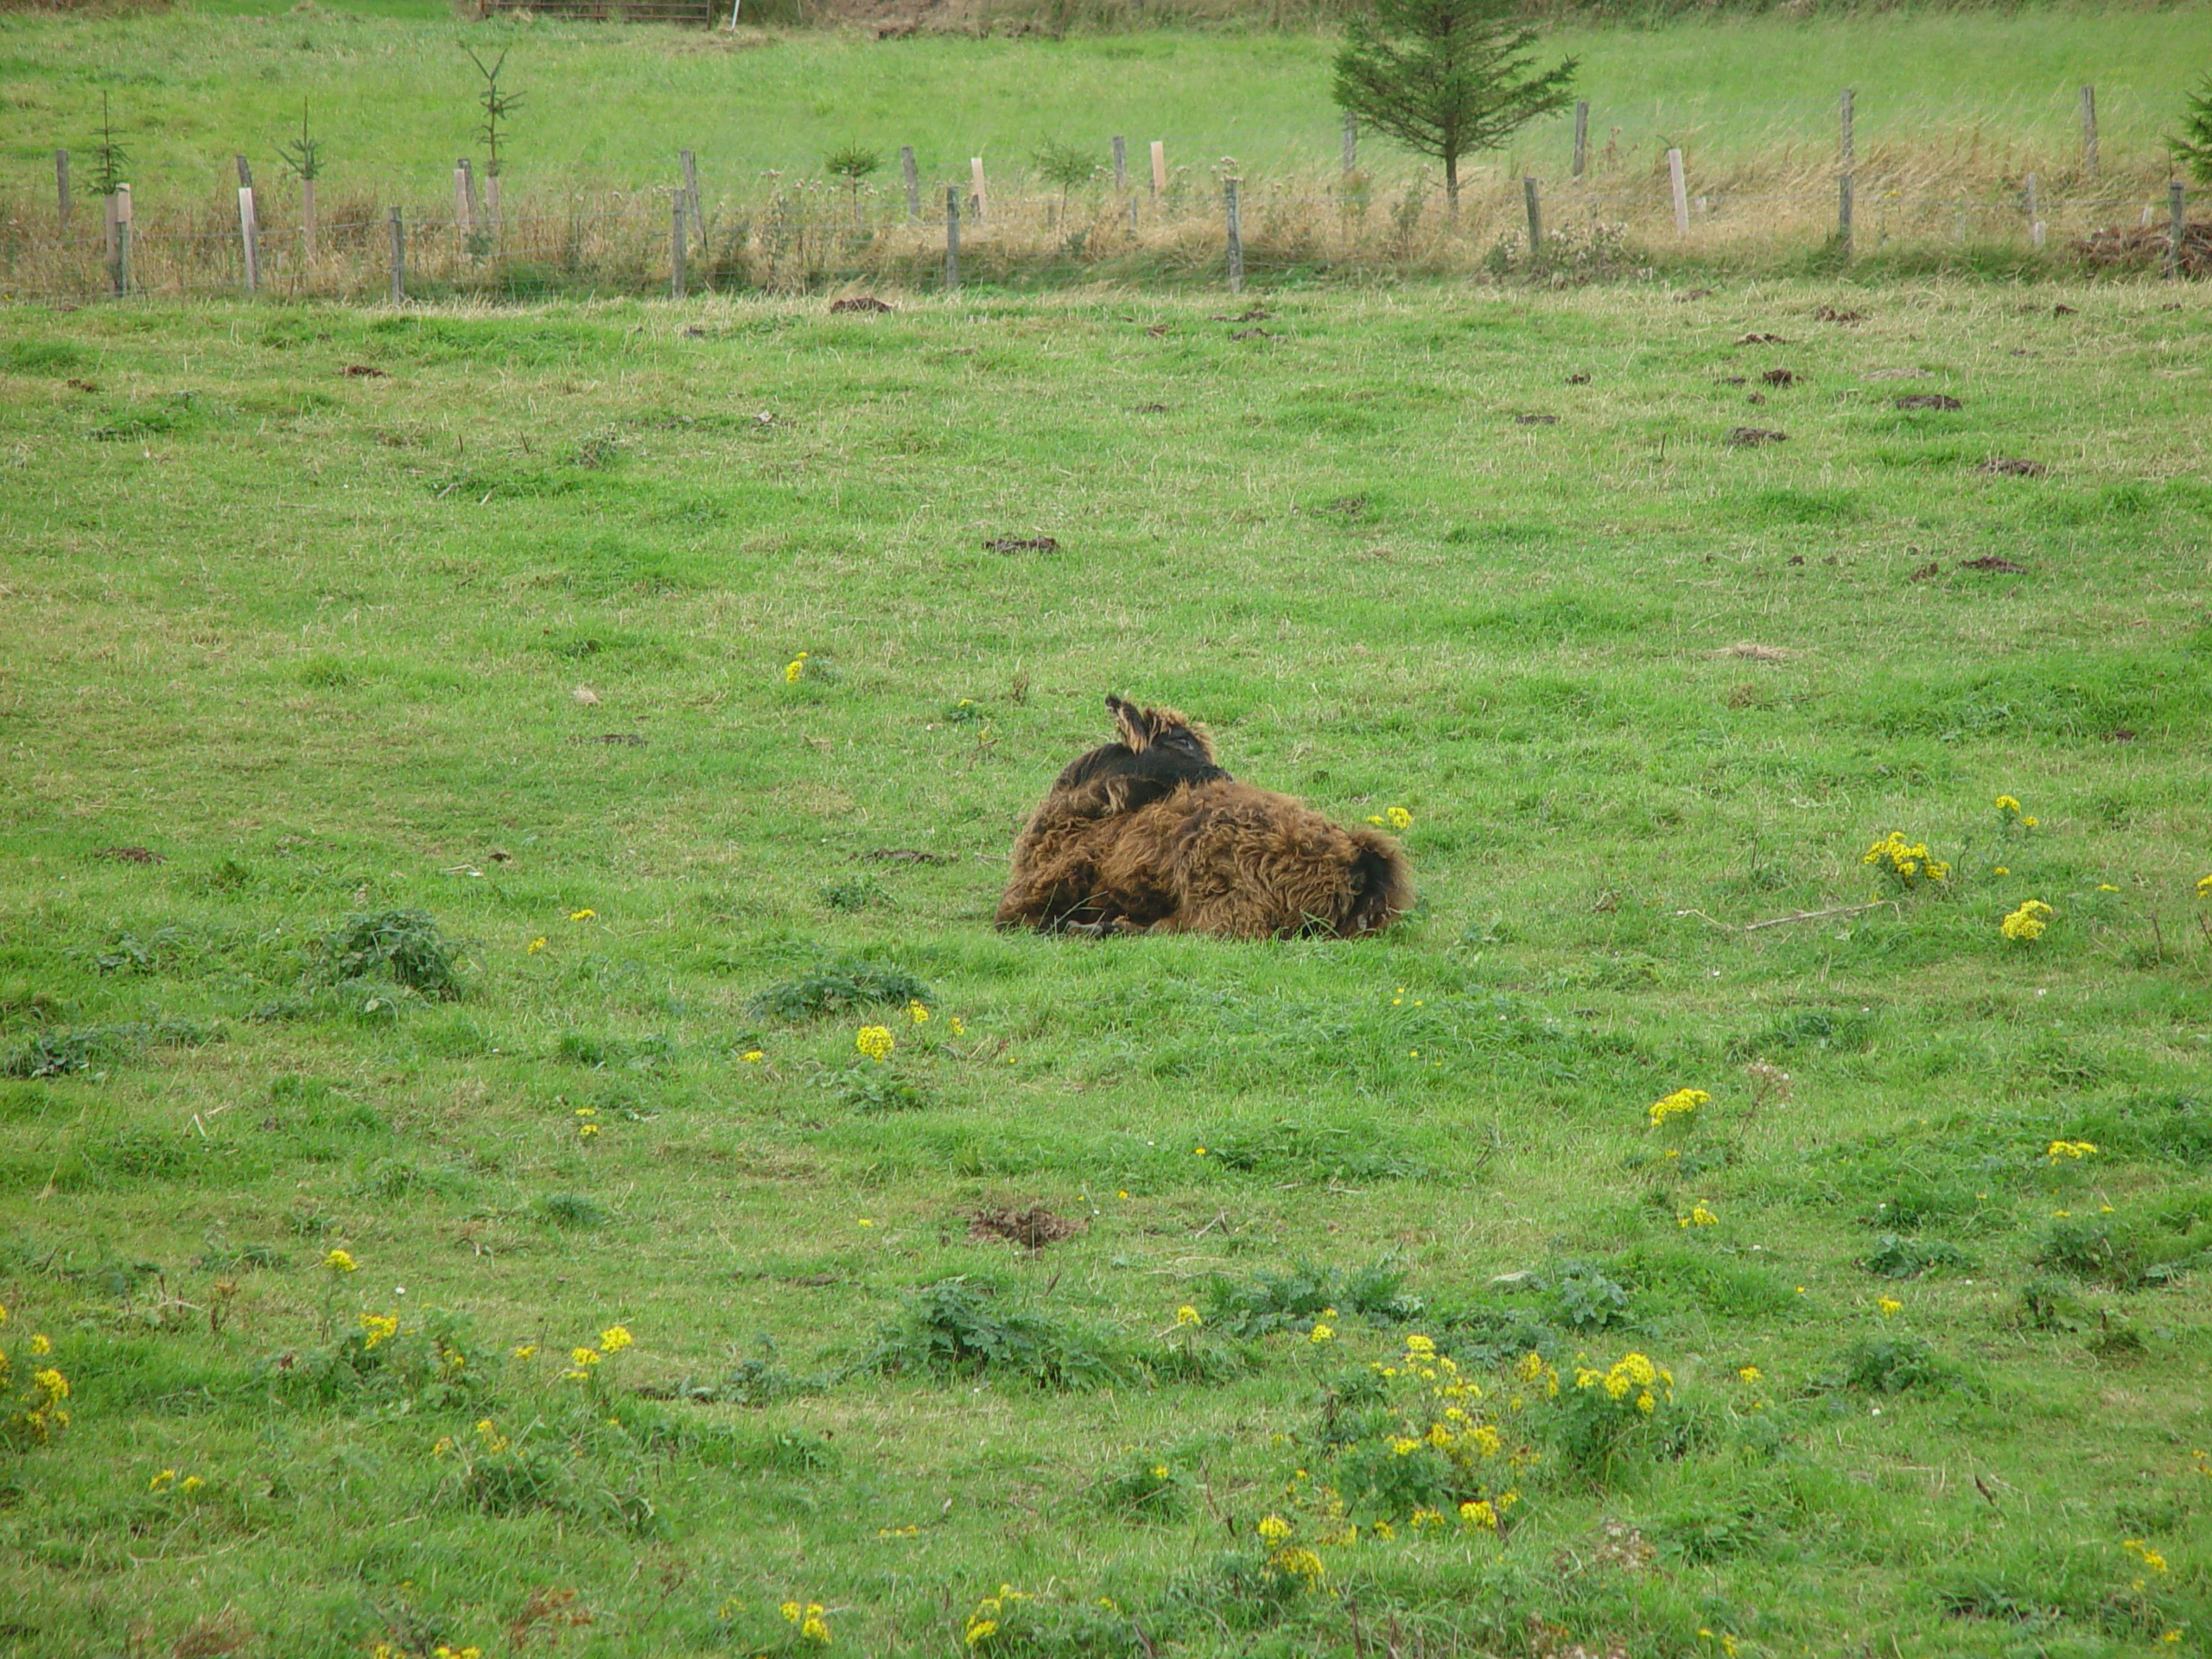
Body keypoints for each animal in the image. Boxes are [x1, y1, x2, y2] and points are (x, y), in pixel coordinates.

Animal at [995, 694, 1407, 942]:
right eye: (1181, 741)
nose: (1225, 776)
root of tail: (1356, 858)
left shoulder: (1038, 890)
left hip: (1218, 889)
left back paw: (1108, 926)